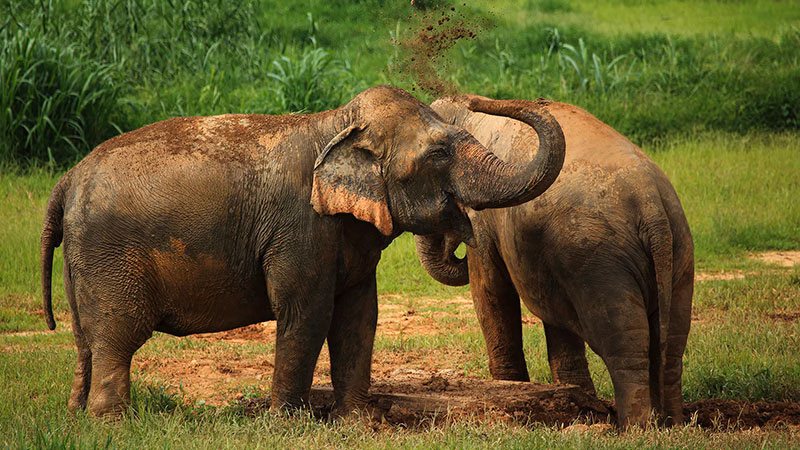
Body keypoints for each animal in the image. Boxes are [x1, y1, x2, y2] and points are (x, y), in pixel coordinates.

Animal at [40, 86, 566, 419]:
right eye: (439, 154)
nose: (469, 97)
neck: (337, 123)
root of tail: (67, 180)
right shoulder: (300, 228)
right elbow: (306, 312)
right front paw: (287, 423)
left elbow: (359, 315)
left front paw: (357, 422)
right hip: (109, 255)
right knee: (117, 336)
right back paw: (113, 423)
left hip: (82, 261)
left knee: (86, 341)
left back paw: (77, 417)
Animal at [415, 96, 694, 427]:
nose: (452, 249)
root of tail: (651, 207)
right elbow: (554, 315)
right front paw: (576, 402)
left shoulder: (483, 218)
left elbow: (492, 293)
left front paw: (512, 390)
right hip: (679, 251)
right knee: (672, 344)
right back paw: (672, 423)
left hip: (599, 260)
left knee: (624, 343)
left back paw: (634, 428)